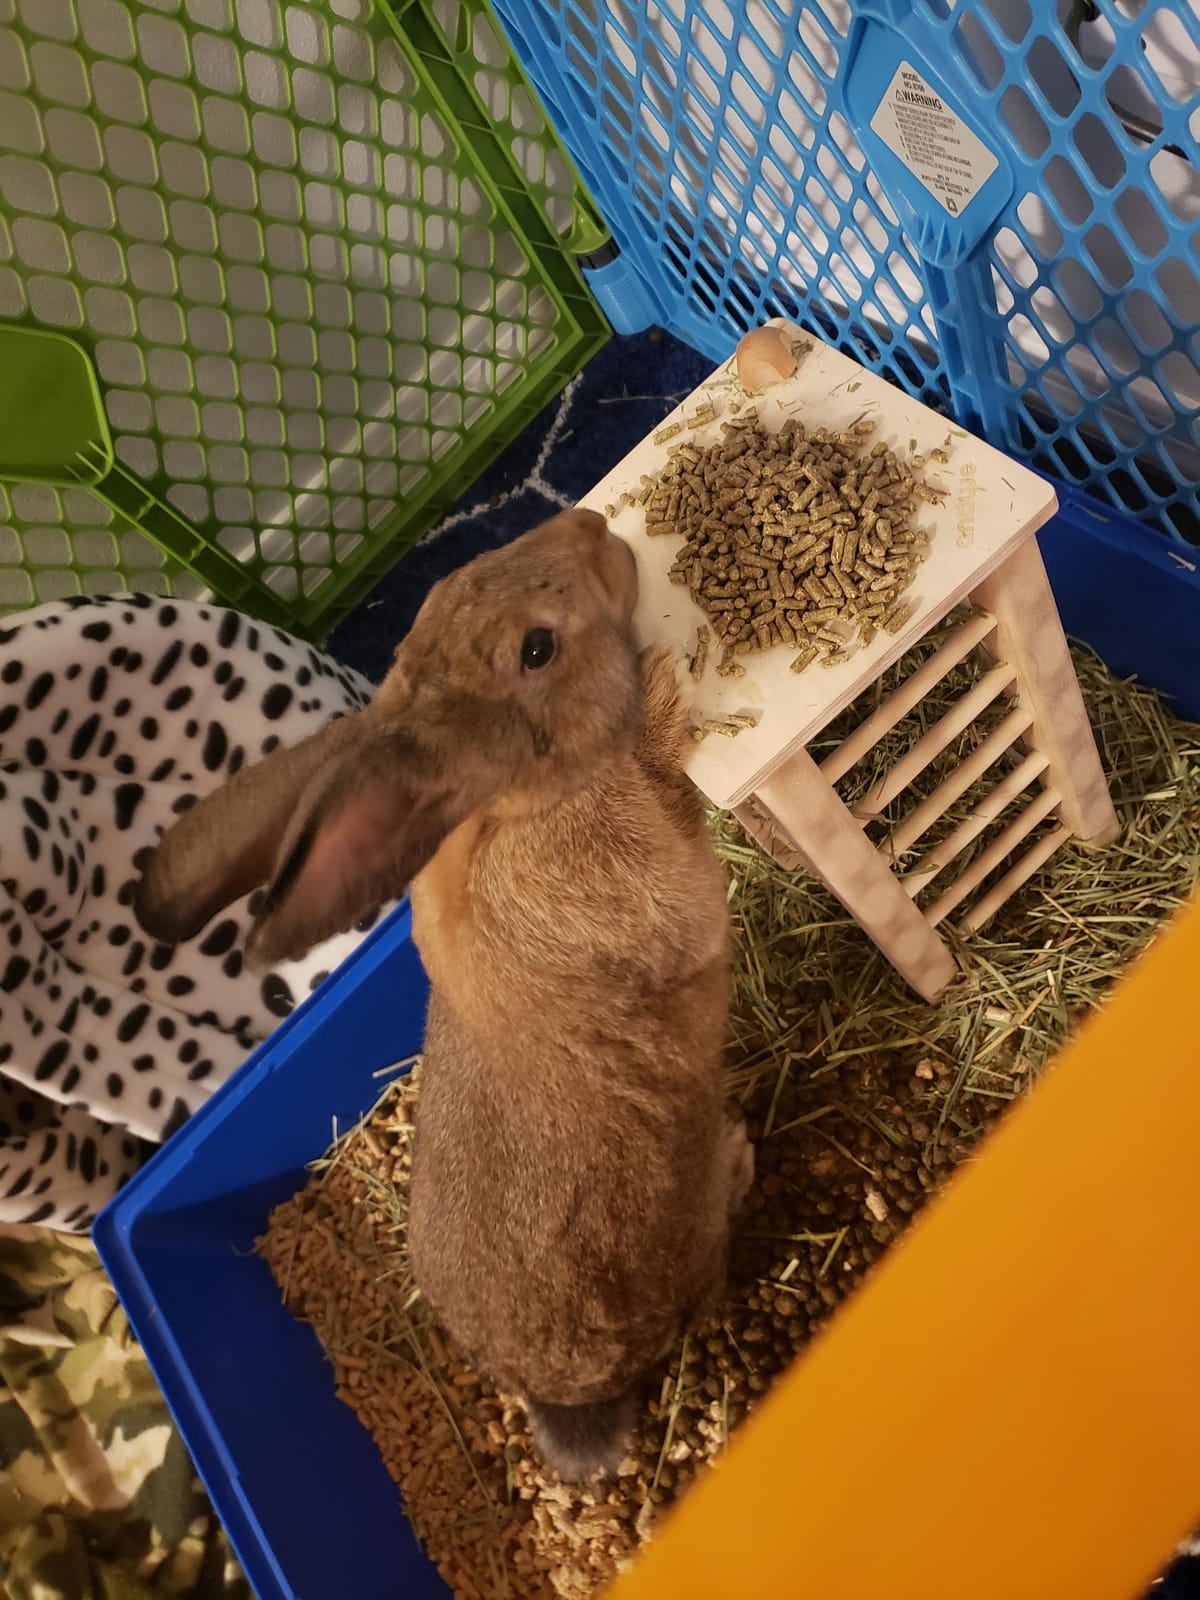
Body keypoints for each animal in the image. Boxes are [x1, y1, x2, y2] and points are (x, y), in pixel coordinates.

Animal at [134, 507, 753, 1482]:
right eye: (537, 649)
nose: (589, 526)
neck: (515, 805)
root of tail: (568, 1399)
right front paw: (660, 682)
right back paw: (738, 1155)